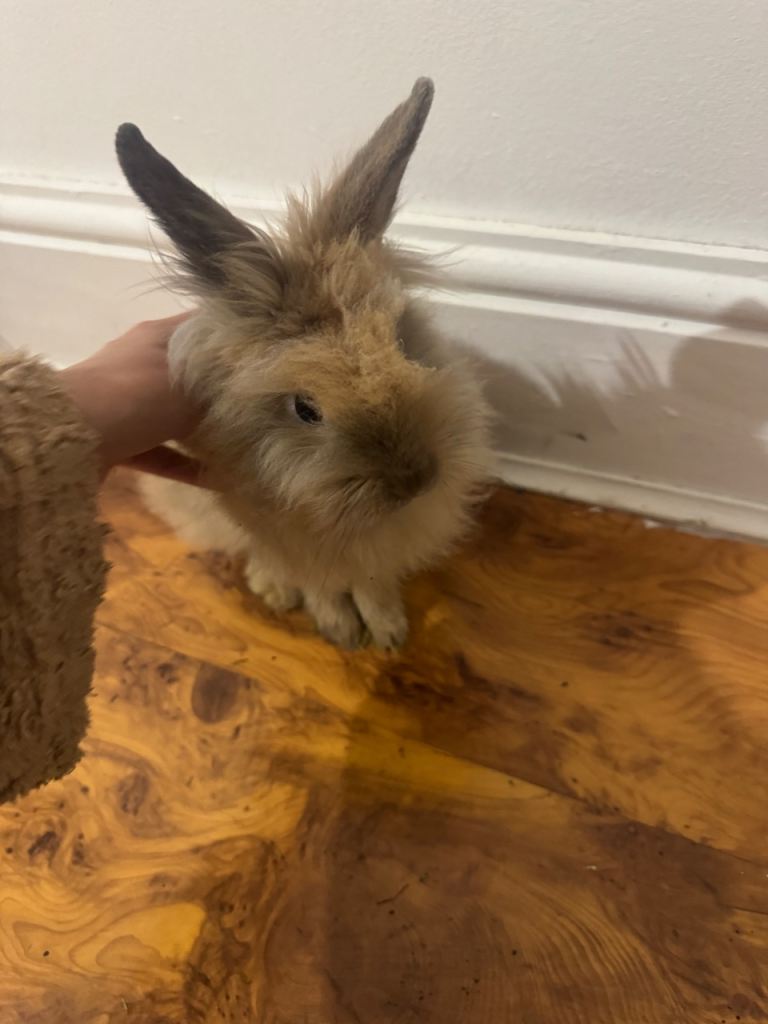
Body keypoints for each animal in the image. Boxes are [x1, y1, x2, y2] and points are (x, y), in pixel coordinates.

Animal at [115, 77, 494, 649]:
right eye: (305, 409)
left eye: (402, 344)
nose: (415, 480)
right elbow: (313, 576)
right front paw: (342, 628)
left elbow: (371, 579)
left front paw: (388, 629)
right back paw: (274, 588)